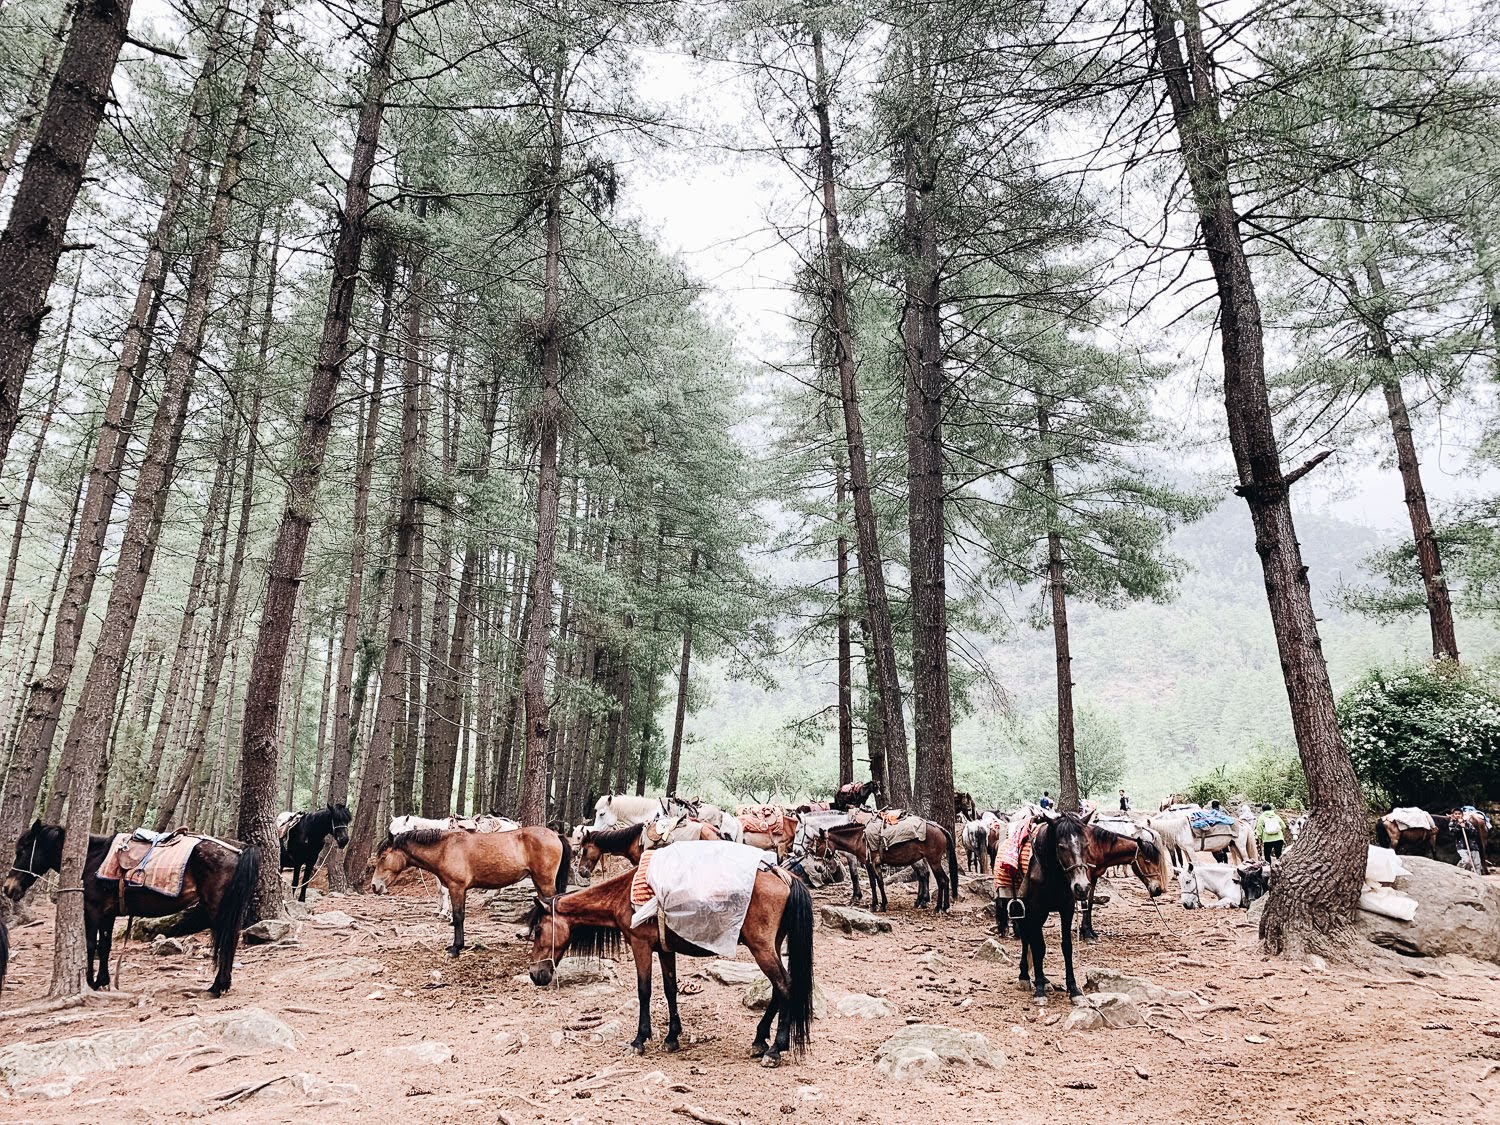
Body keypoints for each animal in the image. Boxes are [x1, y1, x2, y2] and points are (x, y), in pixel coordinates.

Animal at [4, 820, 259, 997]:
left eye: (23, 849)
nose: (8, 888)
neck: (94, 858)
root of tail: (238, 850)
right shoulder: (107, 914)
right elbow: (105, 946)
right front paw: (103, 980)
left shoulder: (93, 910)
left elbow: (90, 945)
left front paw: (89, 982)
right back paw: (222, 984)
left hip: (218, 908)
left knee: (228, 942)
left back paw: (218, 986)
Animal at [370, 825, 570, 956]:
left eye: (383, 857)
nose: (374, 886)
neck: (445, 848)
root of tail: (556, 835)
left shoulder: (456, 887)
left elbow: (458, 917)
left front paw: (455, 948)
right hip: (538, 882)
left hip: (544, 882)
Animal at [524, 863, 814, 1066]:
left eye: (537, 930)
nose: (535, 974)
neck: (622, 895)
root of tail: (782, 877)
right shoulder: (665, 950)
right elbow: (670, 989)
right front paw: (672, 1037)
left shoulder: (640, 945)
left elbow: (644, 991)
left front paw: (639, 1040)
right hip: (771, 946)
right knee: (778, 989)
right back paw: (759, 1040)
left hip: (761, 948)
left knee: (785, 986)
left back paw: (776, 1049)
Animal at [808, 816, 959, 912]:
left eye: (818, 845)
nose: (817, 867)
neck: (859, 839)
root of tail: (940, 828)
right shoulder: (877, 865)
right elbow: (880, 883)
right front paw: (883, 904)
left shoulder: (869, 864)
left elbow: (873, 884)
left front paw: (874, 905)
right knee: (936, 878)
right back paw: (938, 905)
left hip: (934, 861)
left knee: (942, 880)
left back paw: (940, 907)